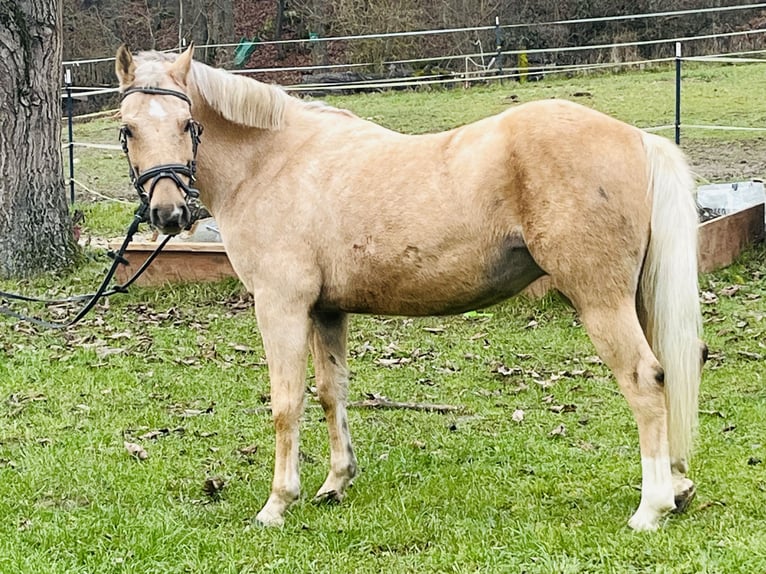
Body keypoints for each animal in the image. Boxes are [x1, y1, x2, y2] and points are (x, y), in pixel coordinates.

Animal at [114, 44, 704, 532]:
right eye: (128, 129)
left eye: (187, 123)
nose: (167, 213)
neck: (272, 163)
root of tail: (639, 138)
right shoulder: (326, 311)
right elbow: (331, 392)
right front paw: (335, 483)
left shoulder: (281, 307)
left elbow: (286, 403)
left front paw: (277, 504)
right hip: (637, 299)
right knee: (668, 375)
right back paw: (678, 488)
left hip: (602, 302)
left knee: (644, 381)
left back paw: (651, 508)